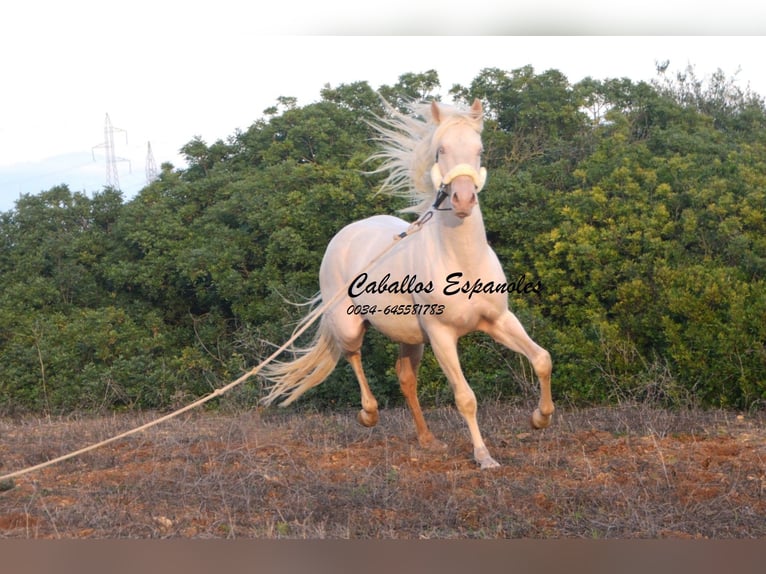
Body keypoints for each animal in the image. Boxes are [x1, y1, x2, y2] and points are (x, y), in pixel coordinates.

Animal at [260, 98, 556, 468]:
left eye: (479, 149)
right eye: (441, 150)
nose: (462, 200)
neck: (461, 260)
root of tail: (346, 233)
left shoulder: (499, 321)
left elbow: (542, 359)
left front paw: (539, 419)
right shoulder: (442, 336)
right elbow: (465, 397)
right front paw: (484, 456)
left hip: (410, 337)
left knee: (405, 378)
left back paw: (427, 439)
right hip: (351, 325)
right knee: (352, 354)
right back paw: (368, 414)